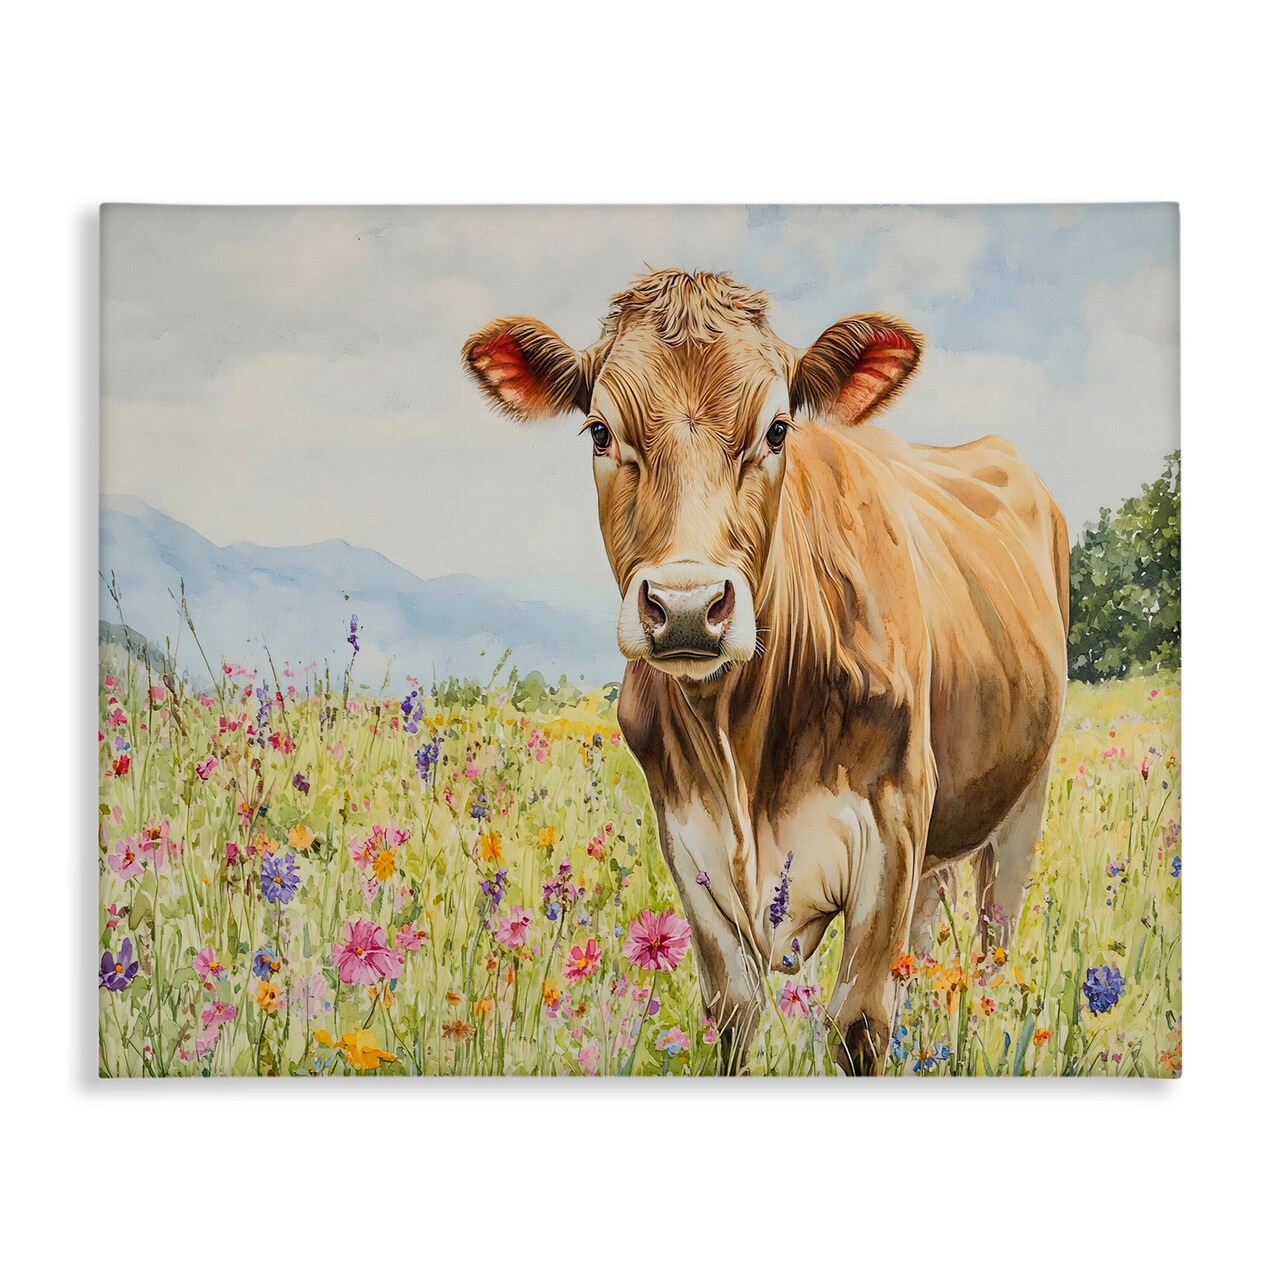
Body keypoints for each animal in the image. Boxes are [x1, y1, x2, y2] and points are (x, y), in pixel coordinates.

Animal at [462, 270, 1068, 1074]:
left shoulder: (893, 824)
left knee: (994, 946)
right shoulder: (692, 847)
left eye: (777, 429)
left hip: (1023, 802)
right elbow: (734, 1016)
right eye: (600, 431)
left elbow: (859, 1025)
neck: (740, 744)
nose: (687, 607)